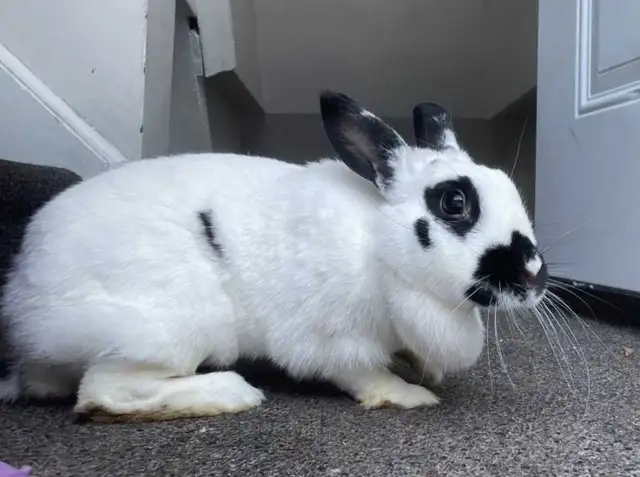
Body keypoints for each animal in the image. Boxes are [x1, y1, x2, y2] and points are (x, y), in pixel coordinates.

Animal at [0, 90, 548, 422]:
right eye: (454, 203)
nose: (535, 275)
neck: (379, 245)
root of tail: (26, 296)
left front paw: (423, 370)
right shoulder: (328, 338)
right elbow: (360, 373)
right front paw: (411, 394)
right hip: (167, 329)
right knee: (102, 392)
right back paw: (231, 393)